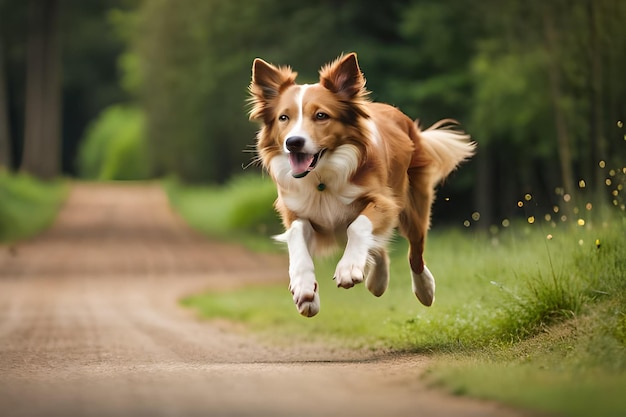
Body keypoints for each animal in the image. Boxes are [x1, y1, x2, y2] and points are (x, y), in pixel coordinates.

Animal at [249, 53, 472, 316]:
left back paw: (424, 289)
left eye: (321, 115)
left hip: (414, 205)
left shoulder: (384, 201)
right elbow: (296, 237)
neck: (322, 178)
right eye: (284, 118)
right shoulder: (297, 211)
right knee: (380, 247)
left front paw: (347, 268)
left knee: (415, 250)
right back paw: (378, 281)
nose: (293, 142)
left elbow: (358, 226)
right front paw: (304, 287)